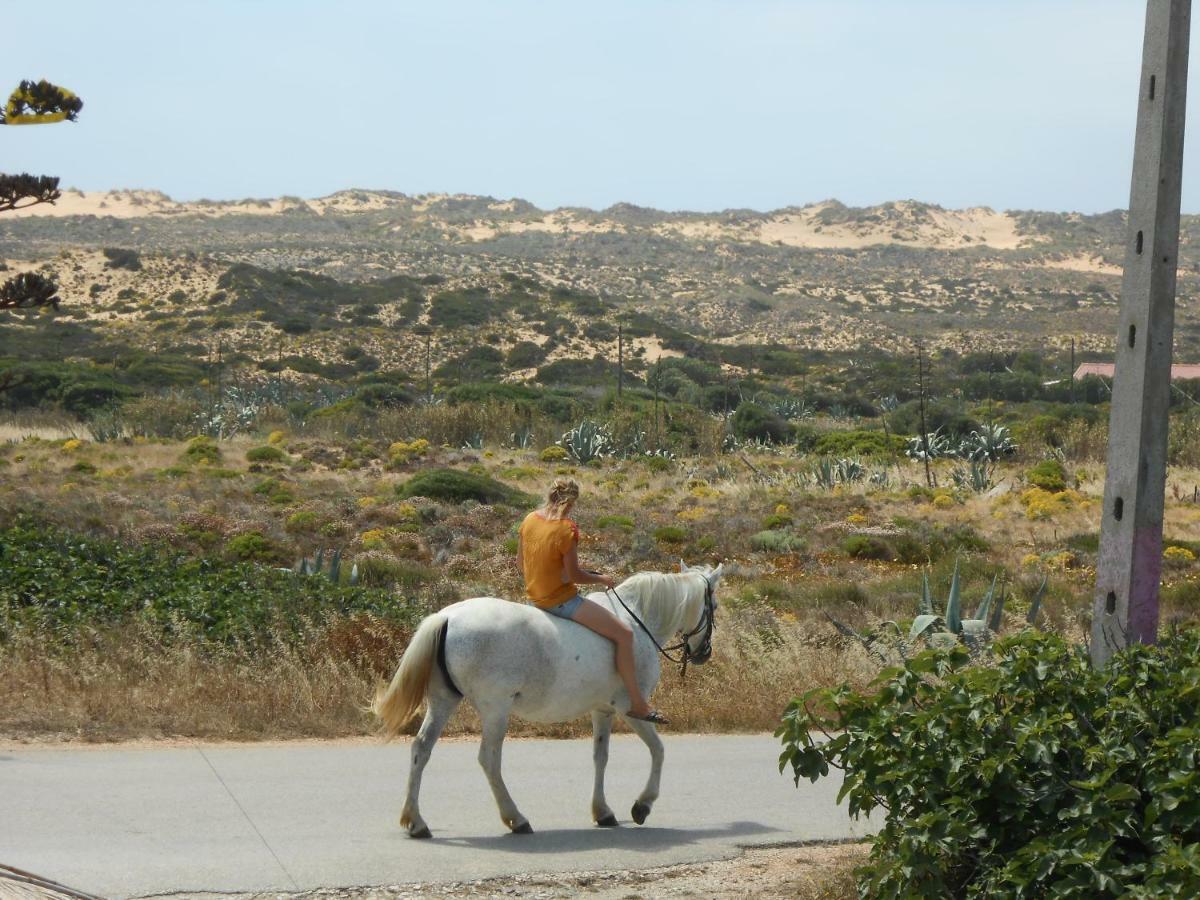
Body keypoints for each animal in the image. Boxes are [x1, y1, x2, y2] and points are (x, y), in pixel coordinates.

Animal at [372, 564, 720, 840]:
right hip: (495, 710)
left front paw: (603, 811)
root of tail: (446, 616)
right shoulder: (631, 710)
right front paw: (642, 804)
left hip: (443, 702)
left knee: (421, 750)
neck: (637, 618)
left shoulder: (602, 711)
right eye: (713, 605)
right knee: (489, 759)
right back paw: (516, 819)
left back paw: (416, 822)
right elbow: (658, 751)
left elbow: (601, 757)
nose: (704, 654)